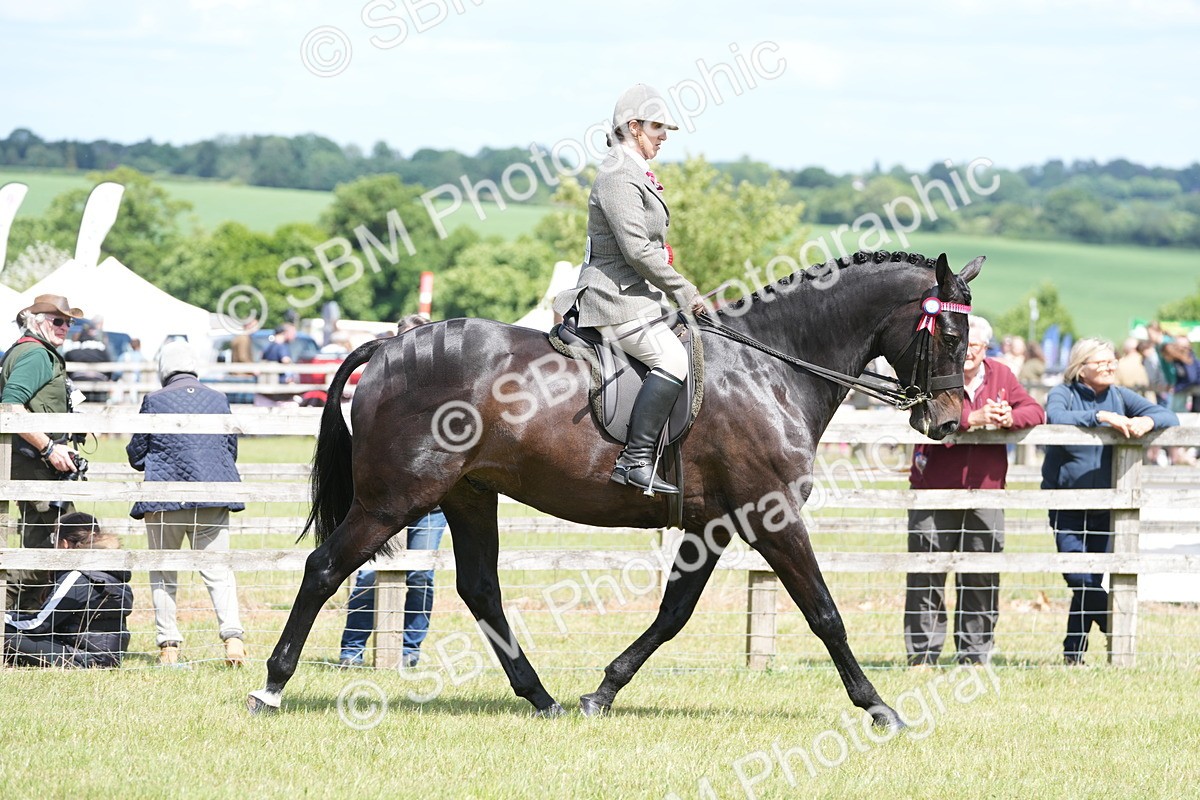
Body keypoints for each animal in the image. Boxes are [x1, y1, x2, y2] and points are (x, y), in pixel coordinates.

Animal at [249, 250, 983, 730]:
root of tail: (389, 346)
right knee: (324, 569)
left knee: (481, 590)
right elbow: (824, 613)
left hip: (468, 495)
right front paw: (880, 707)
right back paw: (271, 687)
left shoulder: (712, 525)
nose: (948, 423)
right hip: (394, 500)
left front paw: (601, 693)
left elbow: (673, 613)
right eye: (951, 333)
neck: (772, 365)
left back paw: (542, 698)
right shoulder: (770, 515)